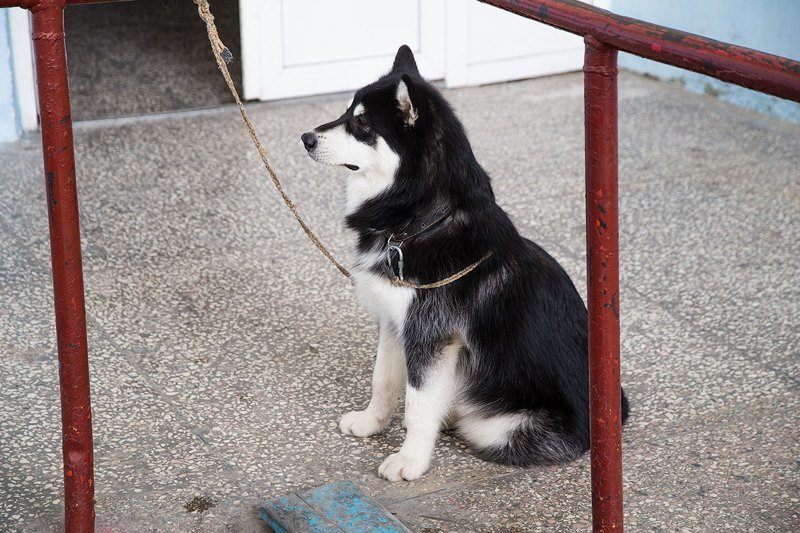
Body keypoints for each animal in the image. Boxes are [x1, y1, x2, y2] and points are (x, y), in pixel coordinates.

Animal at [304, 43, 628, 480]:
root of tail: (611, 417)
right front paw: (372, 422)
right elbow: (383, 380)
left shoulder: (431, 335)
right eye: (346, 113)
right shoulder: (395, 322)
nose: (306, 138)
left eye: (362, 124)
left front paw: (410, 459)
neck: (421, 220)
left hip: (501, 428)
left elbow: (419, 402)